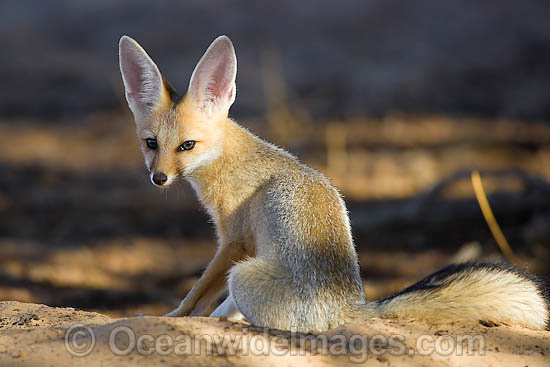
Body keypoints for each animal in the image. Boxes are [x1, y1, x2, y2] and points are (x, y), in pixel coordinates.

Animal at [118, 35, 548, 334]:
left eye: (187, 146)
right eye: (151, 144)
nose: (159, 178)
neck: (229, 159)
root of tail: (351, 307)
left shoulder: (234, 244)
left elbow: (196, 298)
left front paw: (173, 317)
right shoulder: (244, 247)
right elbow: (217, 303)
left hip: (243, 274)